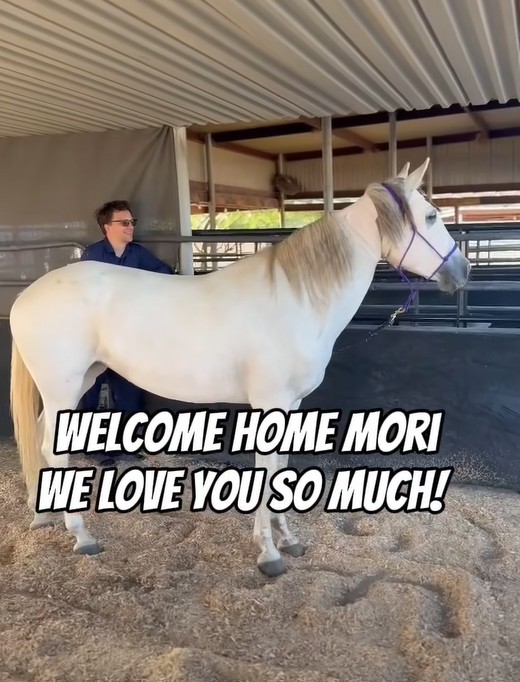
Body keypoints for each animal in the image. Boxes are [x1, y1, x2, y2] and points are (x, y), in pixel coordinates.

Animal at [9, 158, 470, 577]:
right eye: (431, 215)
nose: (462, 270)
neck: (295, 299)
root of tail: (26, 296)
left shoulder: (291, 406)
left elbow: (280, 470)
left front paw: (289, 540)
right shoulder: (271, 404)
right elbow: (266, 474)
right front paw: (268, 554)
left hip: (77, 382)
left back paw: (45, 517)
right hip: (64, 387)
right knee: (54, 449)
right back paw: (82, 536)